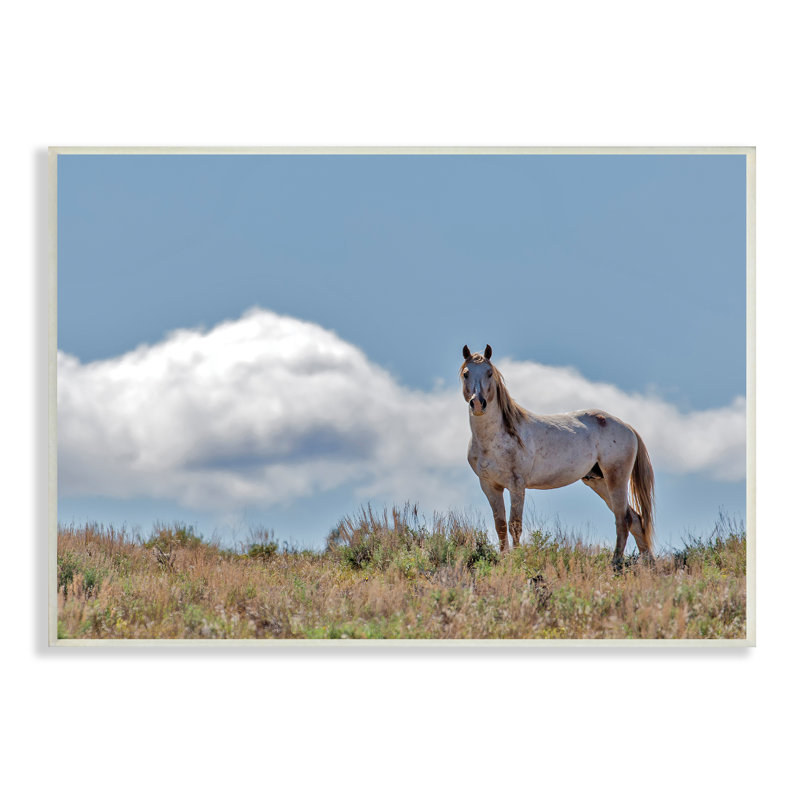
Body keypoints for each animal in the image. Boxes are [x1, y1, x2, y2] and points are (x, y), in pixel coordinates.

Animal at [460, 344, 655, 569]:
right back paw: (648, 564)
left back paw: (615, 563)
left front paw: (517, 560)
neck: (495, 439)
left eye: (489, 373)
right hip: (599, 482)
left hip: (617, 478)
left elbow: (514, 525)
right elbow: (499, 524)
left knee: (623, 520)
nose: (478, 404)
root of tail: (627, 427)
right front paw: (504, 560)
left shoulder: (516, 485)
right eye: (466, 373)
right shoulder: (490, 485)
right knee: (635, 519)